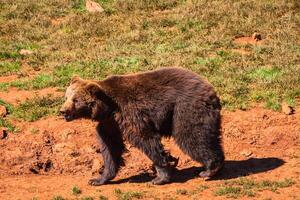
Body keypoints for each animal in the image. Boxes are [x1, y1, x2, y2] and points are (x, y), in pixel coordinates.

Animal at [59, 67, 224, 186]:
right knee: (210, 136)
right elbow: (110, 149)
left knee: (191, 135)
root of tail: (209, 87)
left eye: (75, 100)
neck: (108, 108)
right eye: (66, 97)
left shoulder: (129, 113)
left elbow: (146, 139)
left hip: (185, 108)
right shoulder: (110, 124)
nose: (62, 111)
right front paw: (98, 178)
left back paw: (209, 169)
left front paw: (159, 177)